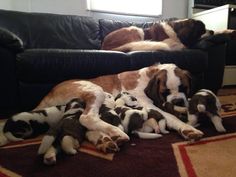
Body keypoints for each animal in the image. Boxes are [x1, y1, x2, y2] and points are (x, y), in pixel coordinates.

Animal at [31, 63, 203, 153]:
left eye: (184, 88)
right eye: (164, 92)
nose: (178, 101)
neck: (149, 76)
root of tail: (49, 93)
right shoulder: (146, 102)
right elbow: (169, 116)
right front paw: (187, 129)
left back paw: (105, 140)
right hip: (96, 90)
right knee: (86, 117)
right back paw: (116, 132)